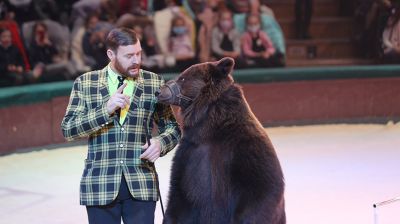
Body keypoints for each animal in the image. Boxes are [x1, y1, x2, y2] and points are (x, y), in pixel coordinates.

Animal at [155, 57, 284, 223]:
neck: (210, 128)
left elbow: (263, 187)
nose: (159, 91)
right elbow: (178, 197)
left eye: (182, 78)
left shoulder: (246, 149)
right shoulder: (189, 153)